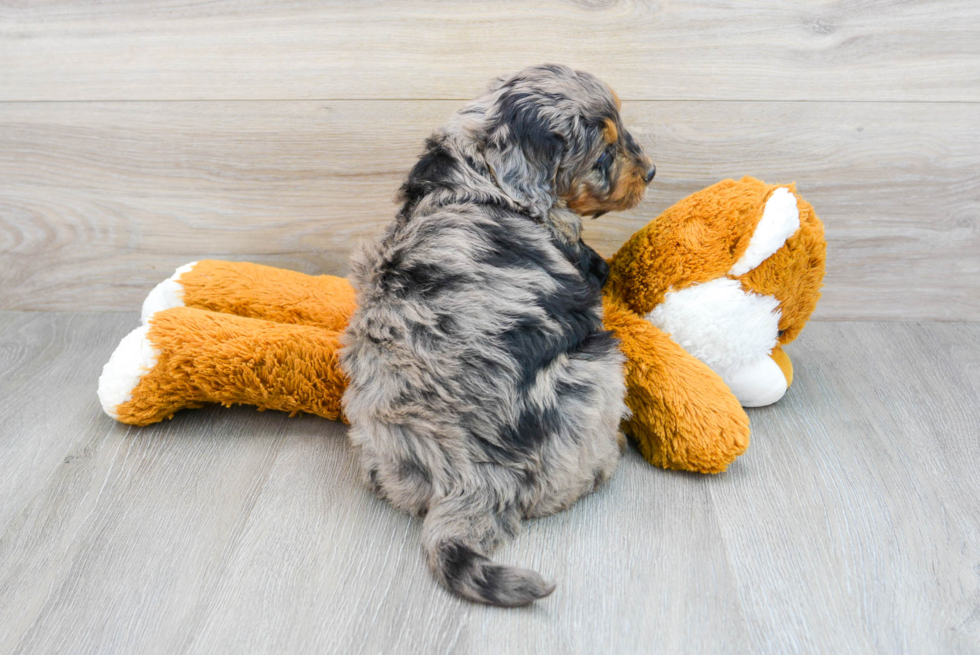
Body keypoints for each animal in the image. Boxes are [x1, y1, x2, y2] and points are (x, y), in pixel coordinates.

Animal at [340, 64, 656, 608]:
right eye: (604, 155)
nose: (652, 171)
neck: (479, 171)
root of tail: (470, 478)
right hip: (598, 373)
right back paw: (609, 456)